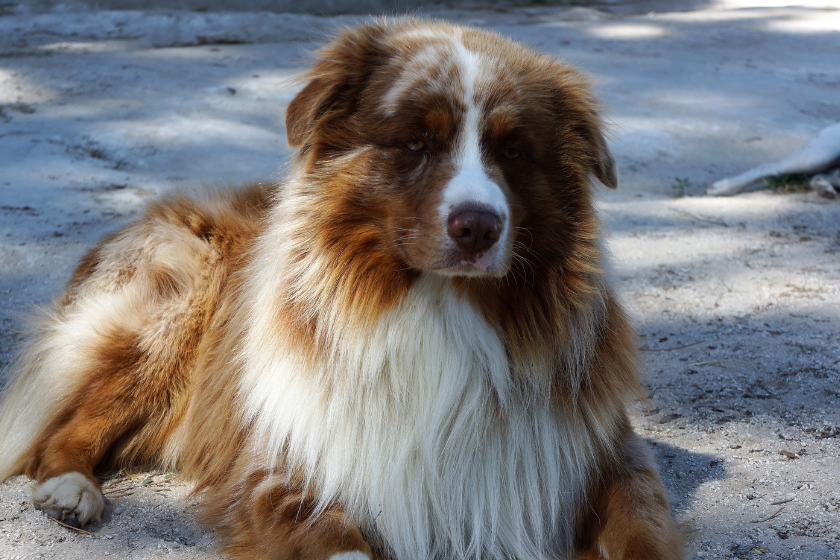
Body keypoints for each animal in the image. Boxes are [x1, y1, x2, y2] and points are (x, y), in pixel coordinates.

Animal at [0, 17, 684, 560]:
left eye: (514, 150)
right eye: (416, 142)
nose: (478, 226)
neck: (438, 307)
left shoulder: (604, 452)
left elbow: (642, 530)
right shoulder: (280, 466)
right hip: (173, 303)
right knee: (65, 427)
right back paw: (69, 488)